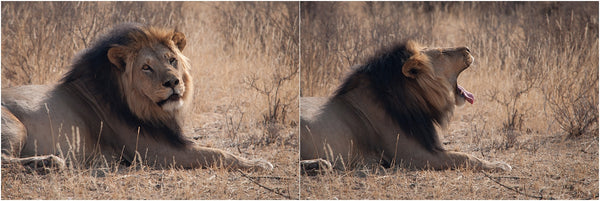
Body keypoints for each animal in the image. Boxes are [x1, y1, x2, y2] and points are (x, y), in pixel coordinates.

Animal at [1, 23, 274, 171]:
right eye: (146, 67)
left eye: (171, 60)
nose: (173, 82)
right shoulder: (155, 152)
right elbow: (217, 154)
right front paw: (260, 163)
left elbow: (213, 149)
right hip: (14, 125)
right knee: (5, 160)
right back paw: (50, 162)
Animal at [300, 40, 510, 173]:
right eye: (442, 52)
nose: (468, 48)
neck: (414, 99)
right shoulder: (413, 156)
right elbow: (465, 157)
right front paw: (501, 165)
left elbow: (463, 153)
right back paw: (319, 164)